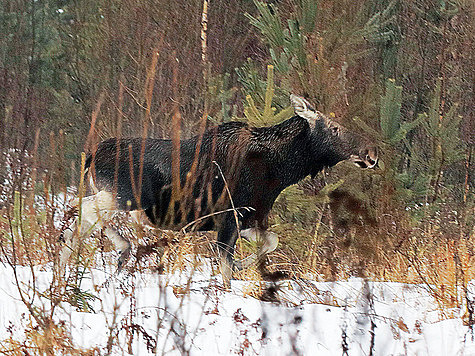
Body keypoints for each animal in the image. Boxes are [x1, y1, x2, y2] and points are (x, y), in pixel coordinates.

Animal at [59, 94, 380, 284]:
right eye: (334, 128)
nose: (371, 153)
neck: (279, 171)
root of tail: (90, 156)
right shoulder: (230, 217)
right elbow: (225, 266)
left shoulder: (245, 218)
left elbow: (270, 241)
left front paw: (244, 265)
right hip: (124, 197)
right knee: (81, 208)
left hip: (121, 200)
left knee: (83, 219)